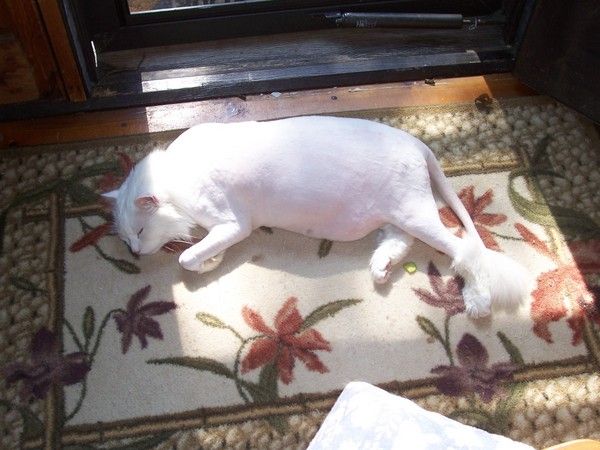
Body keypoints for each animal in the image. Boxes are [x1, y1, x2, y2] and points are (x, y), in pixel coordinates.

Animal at [104, 115, 530, 317]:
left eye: (139, 230)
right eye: (125, 238)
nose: (135, 253)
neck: (176, 176)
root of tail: (415, 142)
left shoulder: (233, 223)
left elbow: (186, 257)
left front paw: (206, 260)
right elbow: (199, 250)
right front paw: (214, 258)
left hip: (415, 212)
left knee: (465, 252)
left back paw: (477, 301)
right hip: (397, 213)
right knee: (401, 242)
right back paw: (381, 267)